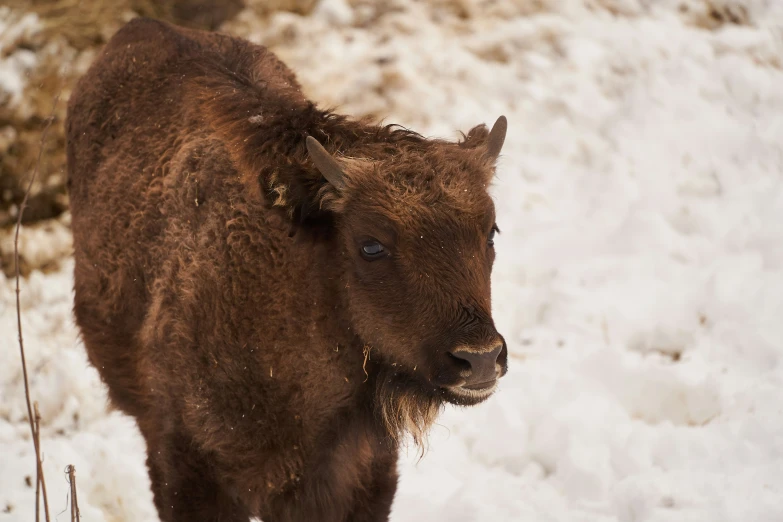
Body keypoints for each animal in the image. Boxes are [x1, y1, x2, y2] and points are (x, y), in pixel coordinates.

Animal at [66, 16, 508, 520]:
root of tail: (139, 26)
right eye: (371, 244)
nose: (479, 359)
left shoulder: (364, 477)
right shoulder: (187, 469)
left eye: (491, 231)